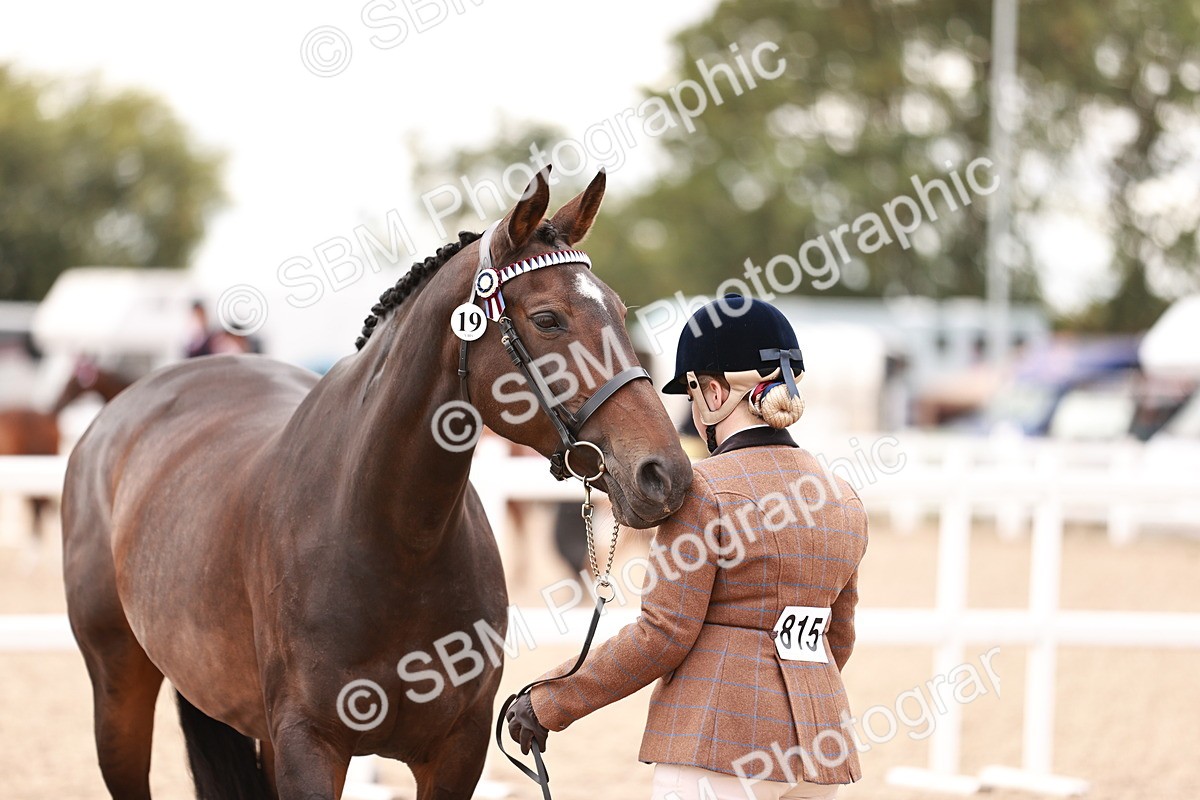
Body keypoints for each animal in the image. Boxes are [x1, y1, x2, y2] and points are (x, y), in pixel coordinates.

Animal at [62, 168, 693, 800]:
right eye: (547, 319)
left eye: (619, 310)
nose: (666, 474)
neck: (389, 540)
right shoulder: (308, 747)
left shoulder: (456, 752)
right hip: (118, 696)